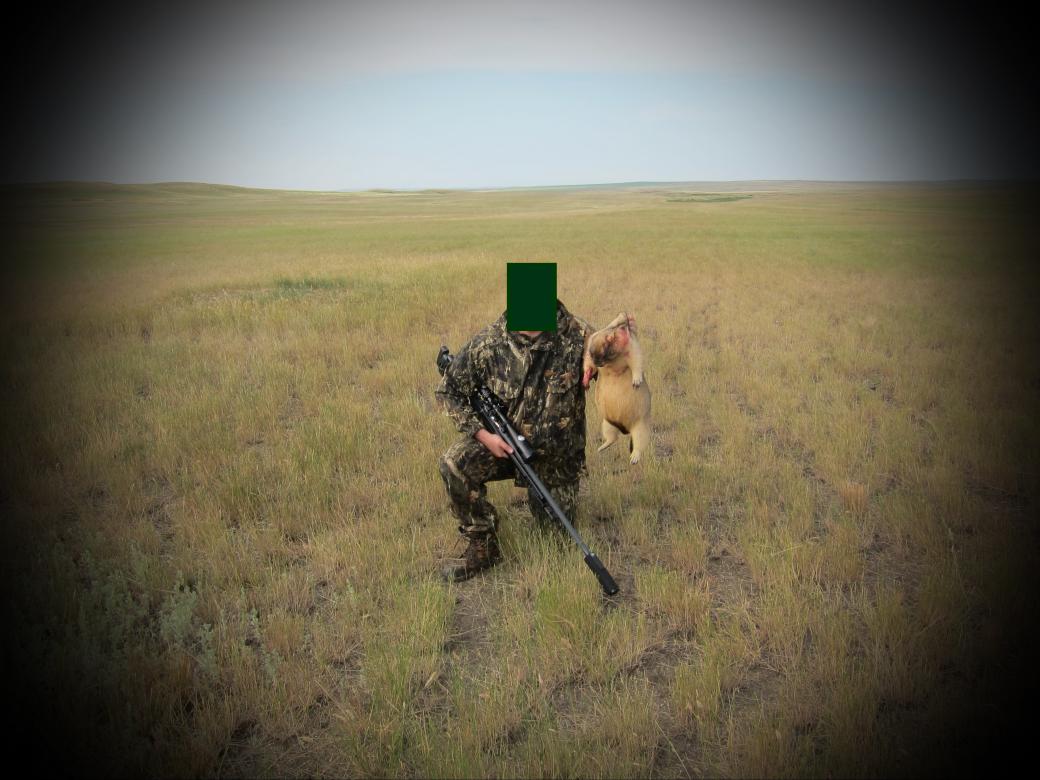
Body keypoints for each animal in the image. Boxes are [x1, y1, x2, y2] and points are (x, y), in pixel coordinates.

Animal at [582, 312, 651, 464]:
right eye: (592, 353)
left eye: (603, 352)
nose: (626, 316)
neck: (611, 360)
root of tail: (626, 429)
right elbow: (587, 363)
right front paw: (586, 378)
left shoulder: (631, 347)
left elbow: (636, 360)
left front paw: (636, 381)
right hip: (607, 423)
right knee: (612, 438)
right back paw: (601, 447)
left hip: (641, 427)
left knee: (639, 443)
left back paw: (634, 458)